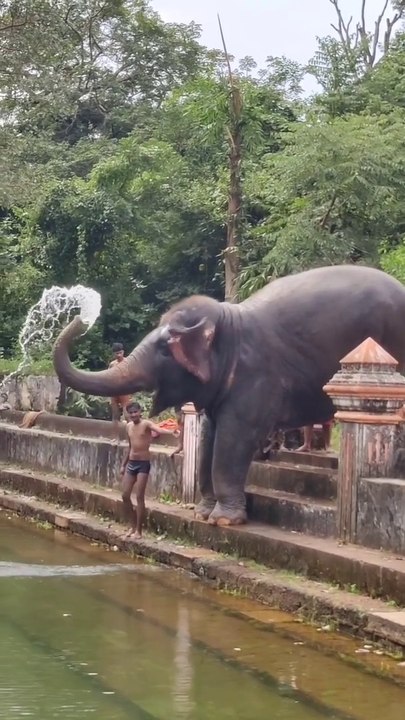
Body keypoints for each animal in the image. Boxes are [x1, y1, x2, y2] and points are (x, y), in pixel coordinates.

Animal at [53, 265, 405, 527]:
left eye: (165, 349)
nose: (79, 316)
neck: (228, 319)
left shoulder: (256, 375)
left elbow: (232, 440)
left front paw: (224, 521)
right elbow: (209, 437)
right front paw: (203, 513)